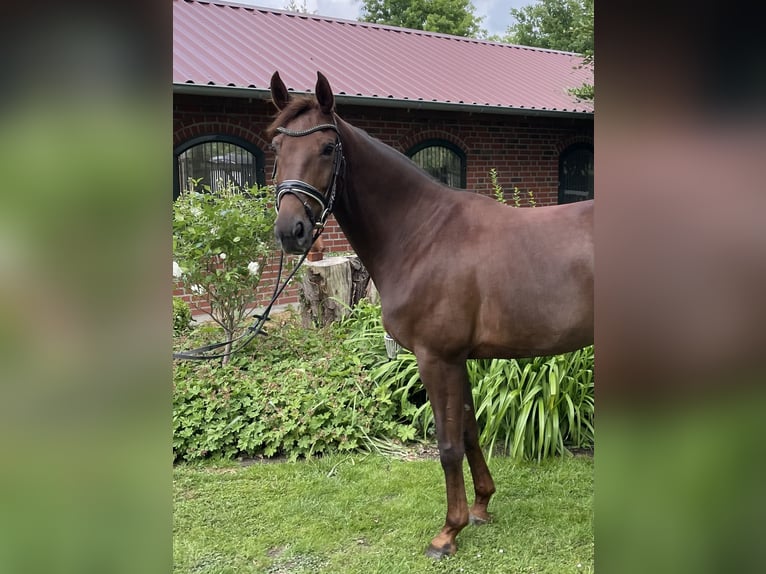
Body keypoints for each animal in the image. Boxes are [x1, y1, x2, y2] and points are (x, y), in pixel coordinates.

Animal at [267, 71, 594, 559]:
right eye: (276, 147)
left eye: (326, 148)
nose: (292, 231)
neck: (423, 234)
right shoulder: (460, 360)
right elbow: (470, 432)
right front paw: (480, 507)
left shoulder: (435, 358)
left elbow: (446, 445)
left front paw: (448, 532)